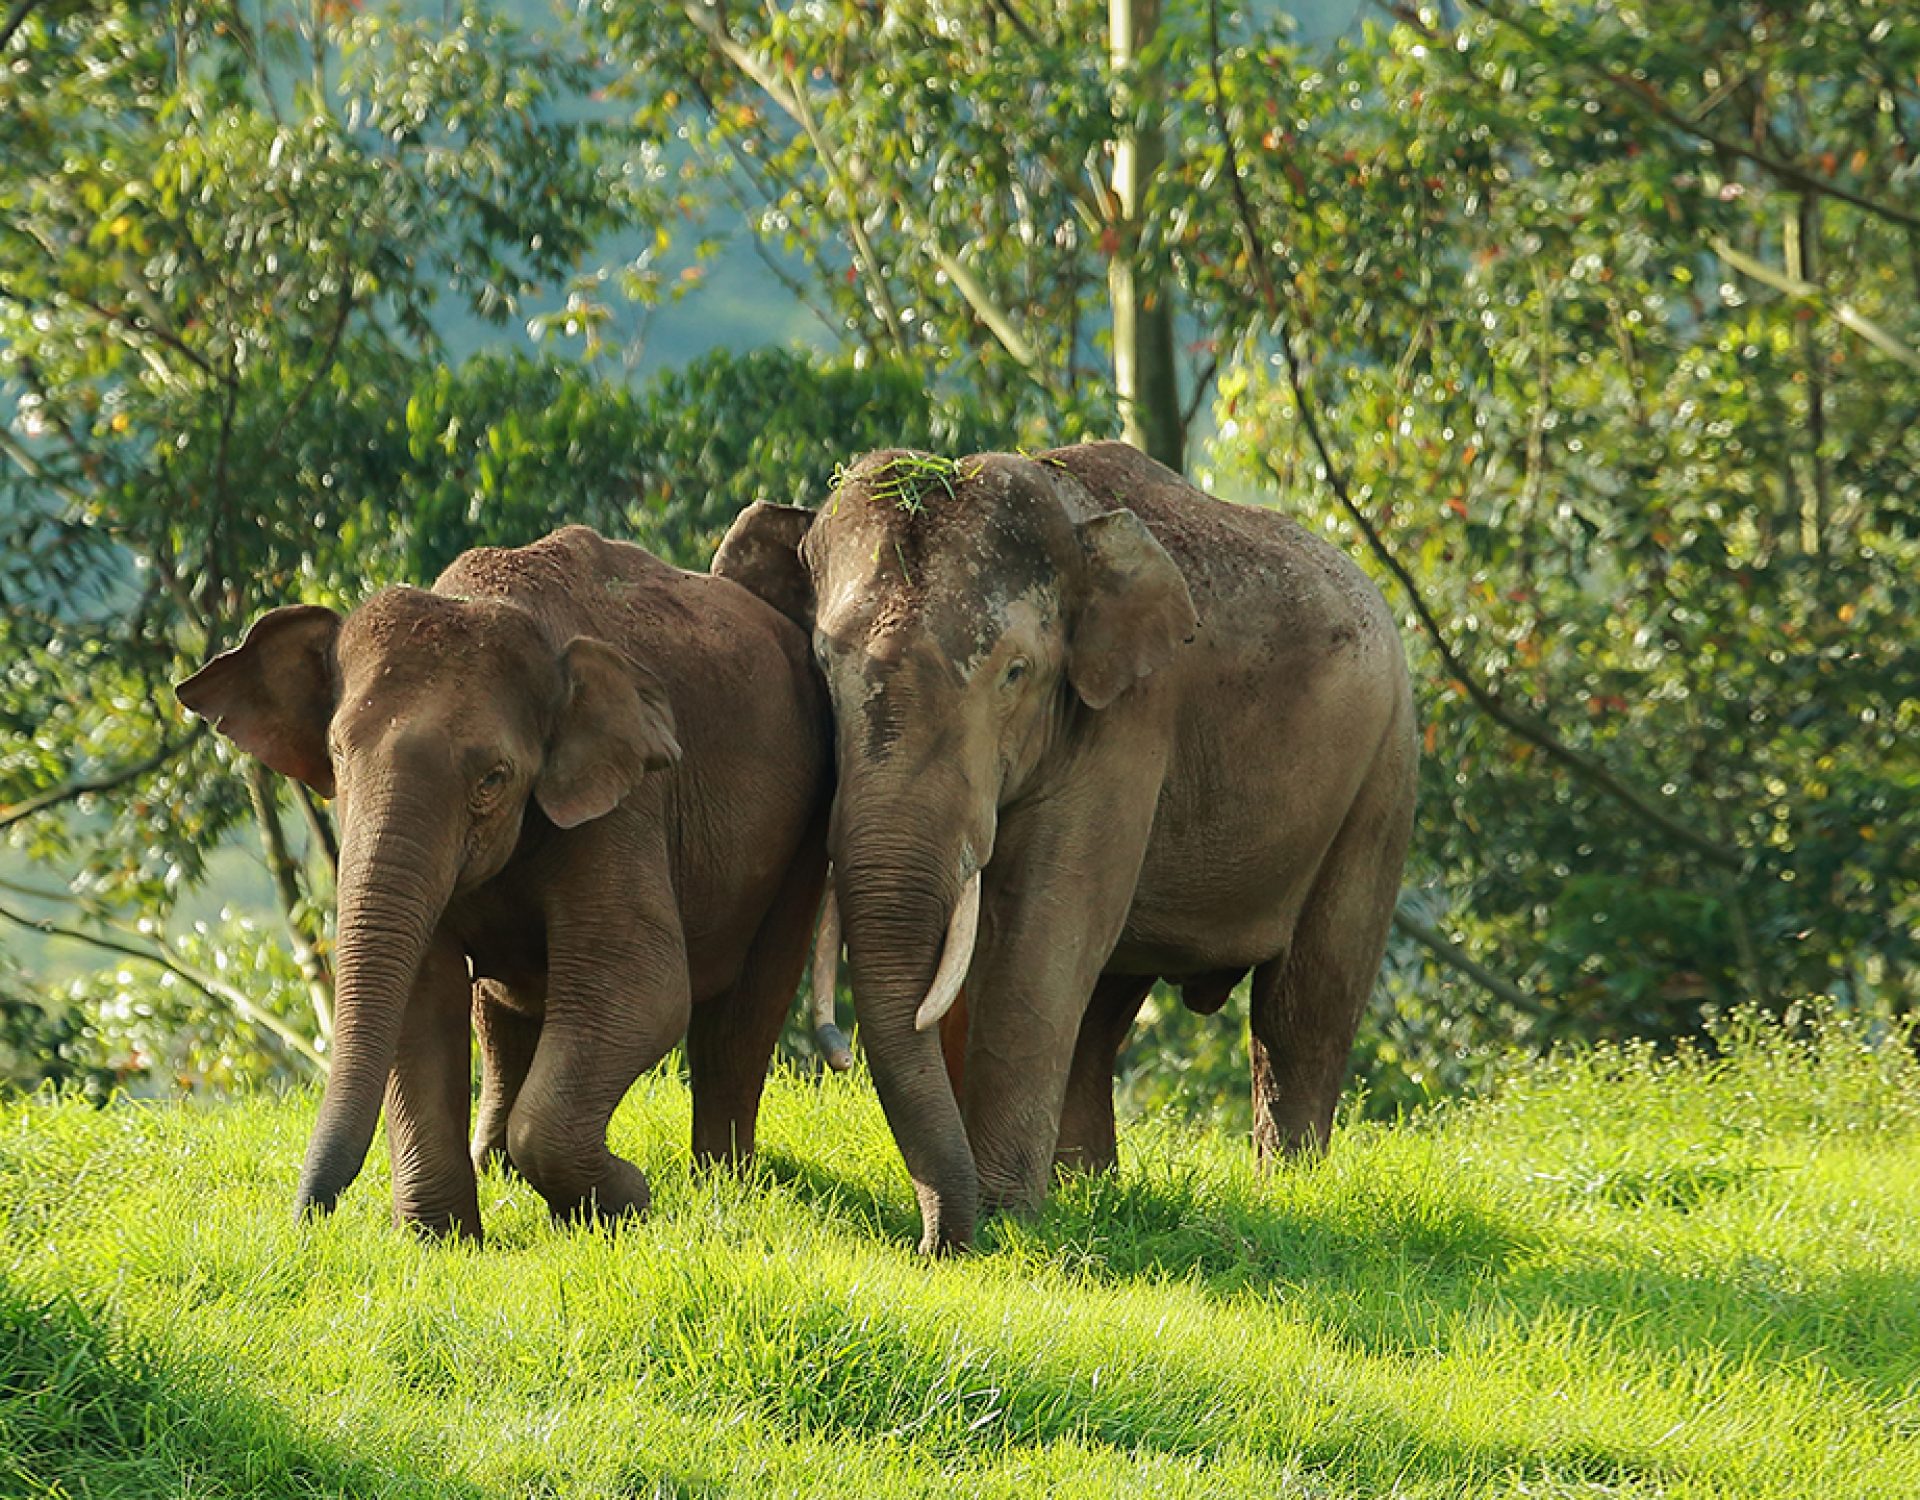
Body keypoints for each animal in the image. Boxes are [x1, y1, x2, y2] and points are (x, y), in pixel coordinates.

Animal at [176, 525, 830, 1242]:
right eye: (340, 755)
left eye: (493, 777)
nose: (308, 1222)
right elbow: (421, 994)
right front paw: (443, 1242)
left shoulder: (626, 803)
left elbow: (642, 986)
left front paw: (625, 1202)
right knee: (506, 1011)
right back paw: (501, 1170)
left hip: (804, 830)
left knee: (746, 1009)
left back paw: (725, 1181)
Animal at [714, 441, 1417, 1253]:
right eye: (824, 664)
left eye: (1015, 674)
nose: (928, 1245)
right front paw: (1014, 1210)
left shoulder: (1128, 719)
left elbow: (1037, 941)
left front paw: (1003, 1218)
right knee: (1105, 1009)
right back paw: (1092, 1188)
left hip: (1382, 774)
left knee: (1308, 1003)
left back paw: (1289, 1193)